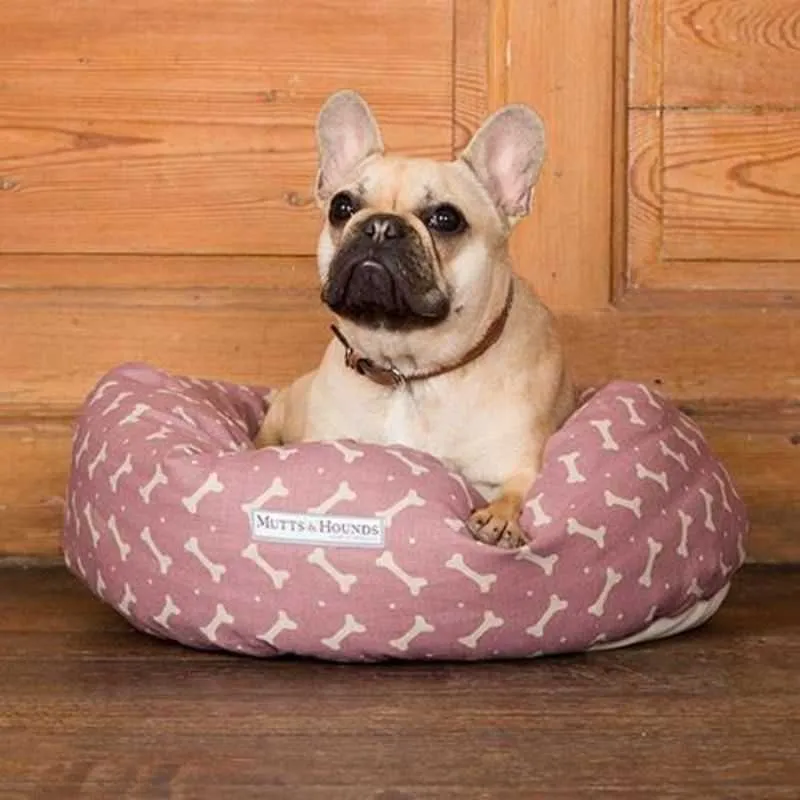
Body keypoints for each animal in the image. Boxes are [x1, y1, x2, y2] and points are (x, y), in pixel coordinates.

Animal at [256, 90, 576, 548]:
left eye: (446, 219)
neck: (407, 372)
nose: (379, 226)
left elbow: (512, 494)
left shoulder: (515, 465)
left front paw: (499, 520)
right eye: (341, 206)